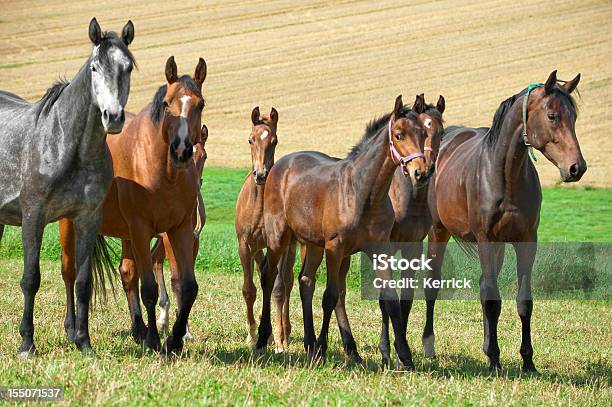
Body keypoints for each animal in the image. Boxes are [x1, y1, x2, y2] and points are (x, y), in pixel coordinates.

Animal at [0, 18, 135, 356]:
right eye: (95, 68)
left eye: (127, 67)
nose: (113, 117)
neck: (68, 145)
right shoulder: (33, 217)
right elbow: (30, 279)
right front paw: (26, 343)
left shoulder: (87, 218)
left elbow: (83, 282)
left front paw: (84, 342)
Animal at [60, 55, 208, 356]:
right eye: (167, 104)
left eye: (200, 104)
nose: (181, 151)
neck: (164, 173)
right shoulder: (141, 228)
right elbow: (149, 288)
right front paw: (154, 340)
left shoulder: (179, 230)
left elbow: (187, 287)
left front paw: (174, 340)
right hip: (70, 223)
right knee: (69, 272)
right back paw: (73, 329)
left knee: (127, 273)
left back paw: (138, 329)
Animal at [234, 108, 296, 354]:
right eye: (250, 139)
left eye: (274, 141)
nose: (260, 174)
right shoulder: (245, 245)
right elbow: (249, 289)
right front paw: (252, 336)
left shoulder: (278, 245)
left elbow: (277, 288)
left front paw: (278, 340)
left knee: (287, 282)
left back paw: (284, 334)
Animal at [256, 95, 426, 366]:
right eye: (399, 135)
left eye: (423, 134)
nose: (420, 172)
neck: (364, 193)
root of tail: (278, 166)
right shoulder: (335, 248)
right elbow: (330, 296)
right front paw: (323, 348)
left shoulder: (380, 251)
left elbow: (391, 300)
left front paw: (405, 357)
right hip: (279, 238)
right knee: (269, 276)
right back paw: (264, 338)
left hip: (313, 244)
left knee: (305, 281)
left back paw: (309, 343)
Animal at [424, 70, 584, 372]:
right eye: (552, 116)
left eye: (574, 117)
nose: (576, 168)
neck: (505, 175)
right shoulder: (486, 240)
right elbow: (493, 301)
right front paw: (495, 362)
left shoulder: (526, 241)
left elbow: (522, 302)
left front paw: (527, 361)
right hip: (438, 232)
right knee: (433, 286)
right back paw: (429, 347)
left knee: (483, 287)